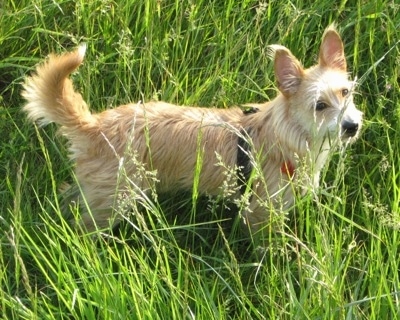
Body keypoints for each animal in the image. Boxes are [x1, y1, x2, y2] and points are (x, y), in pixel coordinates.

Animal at [23, 25, 364, 234]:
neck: (289, 131)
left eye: (346, 92)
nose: (352, 126)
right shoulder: (260, 212)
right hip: (114, 201)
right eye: (320, 106)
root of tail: (94, 125)